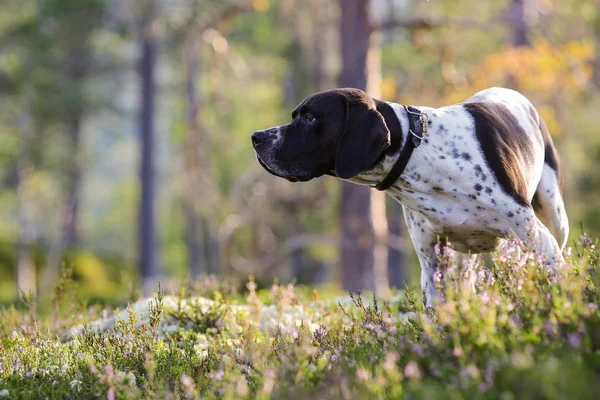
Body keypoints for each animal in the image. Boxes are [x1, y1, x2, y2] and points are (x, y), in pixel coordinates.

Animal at [251, 87, 568, 306]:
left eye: (310, 117)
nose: (256, 137)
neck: (418, 152)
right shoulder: (432, 263)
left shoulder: (540, 241)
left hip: (554, 220)